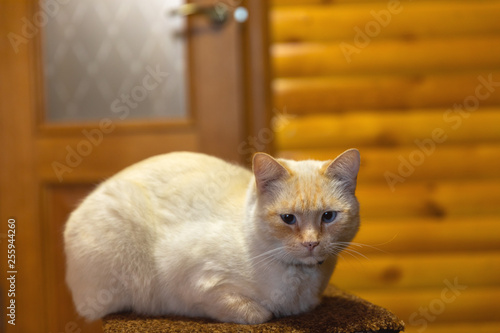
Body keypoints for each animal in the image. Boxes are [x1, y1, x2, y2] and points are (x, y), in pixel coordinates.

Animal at [63, 149, 360, 322]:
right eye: (288, 219)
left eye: (328, 216)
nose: (311, 243)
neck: (300, 280)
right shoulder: (196, 286)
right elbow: (257, 315)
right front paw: (265, 312)